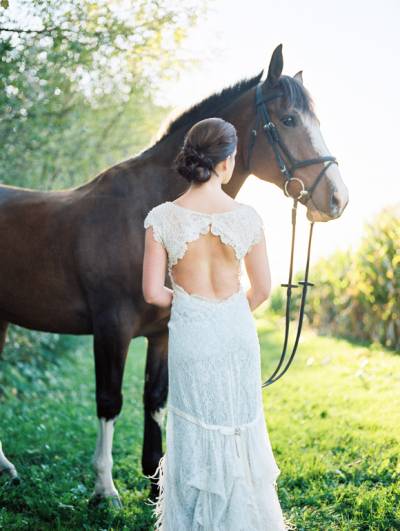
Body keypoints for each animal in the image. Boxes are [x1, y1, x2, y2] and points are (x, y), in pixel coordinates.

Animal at [0, 45, 346, 508]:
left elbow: (156, 400)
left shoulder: (162, 332)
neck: (143, 210)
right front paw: (105, 489)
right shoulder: (112, 328)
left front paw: (155, 484)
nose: (338, 198)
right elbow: (110, 401)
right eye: (289, 119)